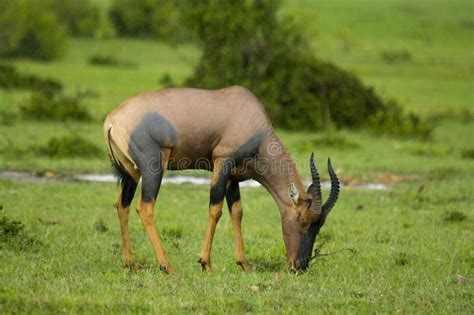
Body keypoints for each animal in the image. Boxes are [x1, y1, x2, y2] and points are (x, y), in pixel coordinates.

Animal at [104, 86, 340, 274]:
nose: (299, 266)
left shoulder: (232, 177)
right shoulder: (222, 162)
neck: (248, 114)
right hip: (153, 170)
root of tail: (112, 121)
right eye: (304, 220)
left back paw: (130, 263)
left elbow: (237, 212)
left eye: (319, 225)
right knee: (145, 207)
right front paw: (205, 263)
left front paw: (244, 263)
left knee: (121, 206)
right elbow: (215, 210)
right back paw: (167, 266)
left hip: (131, 173)